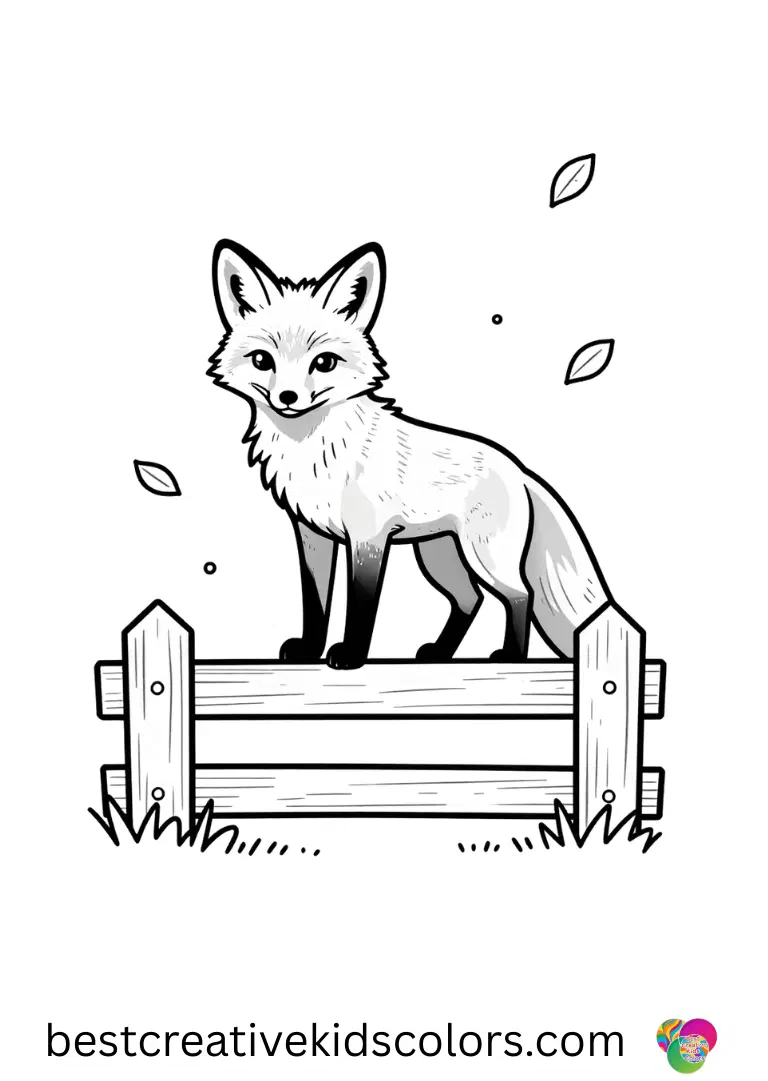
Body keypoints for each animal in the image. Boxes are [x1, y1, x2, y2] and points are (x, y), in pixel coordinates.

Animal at [208, 240, 612, 670]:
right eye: (262, 360)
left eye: (325, 362)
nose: (287, 398)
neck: (313, 450)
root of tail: (520, 469)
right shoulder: (312, 533)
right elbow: (316, 602)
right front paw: (309, 650)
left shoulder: (368, 538)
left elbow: (361, 605)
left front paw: (351, 655)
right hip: (438, 555)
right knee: (471, 599)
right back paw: (439, 653)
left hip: (482, 555)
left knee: (520, 595)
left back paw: (510, 657)